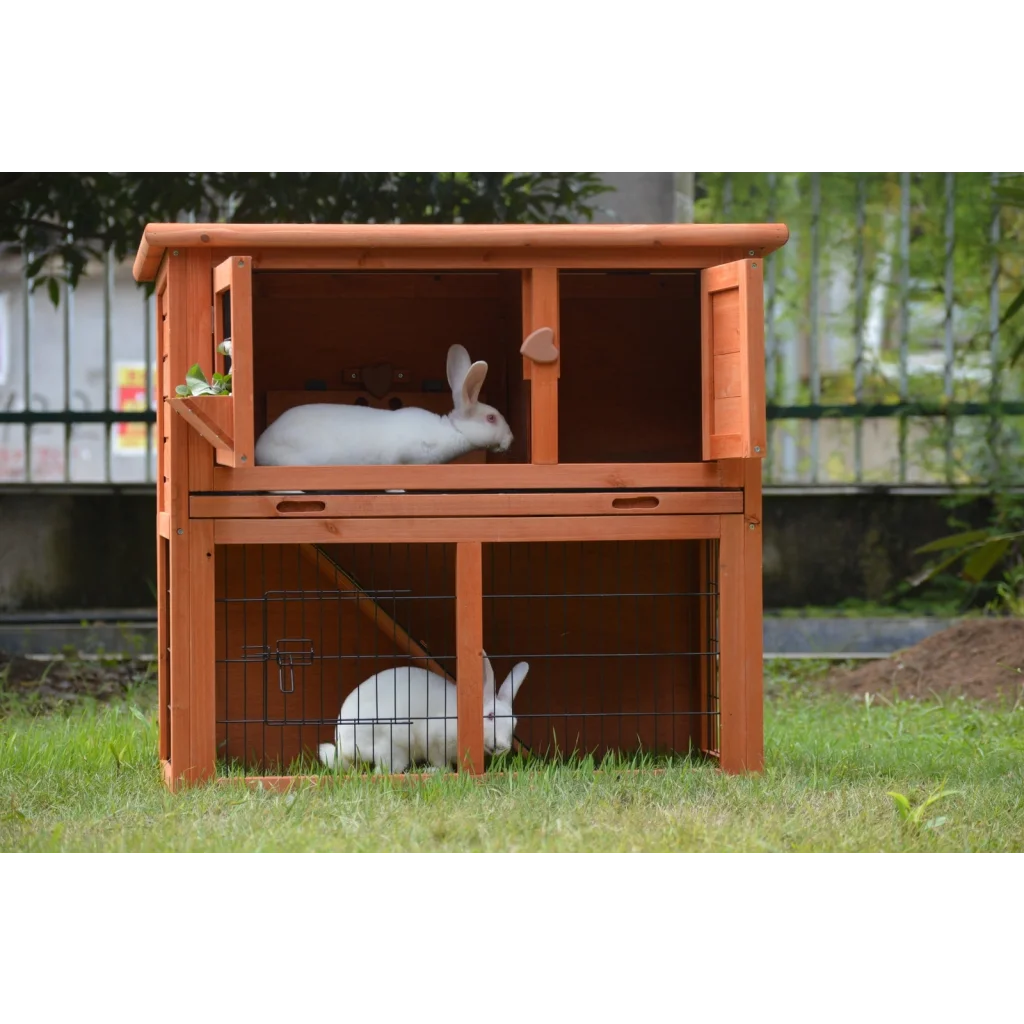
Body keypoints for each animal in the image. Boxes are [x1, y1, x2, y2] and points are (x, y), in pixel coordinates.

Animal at [318, 652, 529, 774]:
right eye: (490, 716)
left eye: (514, 723)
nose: (502, 746)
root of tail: (343, 747)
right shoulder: (433, 740)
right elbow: (442, 763)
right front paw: (437, 770)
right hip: (392, 745)